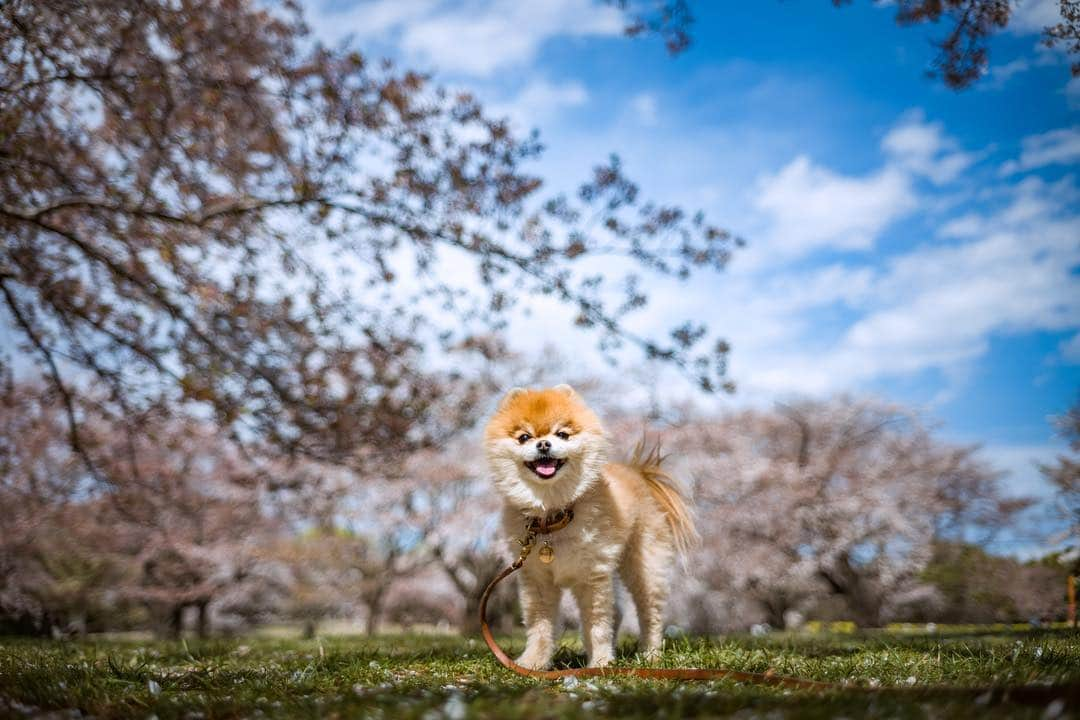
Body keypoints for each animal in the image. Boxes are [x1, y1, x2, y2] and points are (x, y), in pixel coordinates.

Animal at [486, 386, 695, 673]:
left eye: (562, 434)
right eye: (524, 437)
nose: (543, 444)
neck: (553, 515)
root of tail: (638, 474)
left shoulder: (592, 576)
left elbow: (597, 624)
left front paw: (601, 662)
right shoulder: (537, 579)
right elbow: (540, 625)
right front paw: (533, 662)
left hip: (644, 566)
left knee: (649, 613)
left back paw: (650, 655)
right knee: (618, 612)